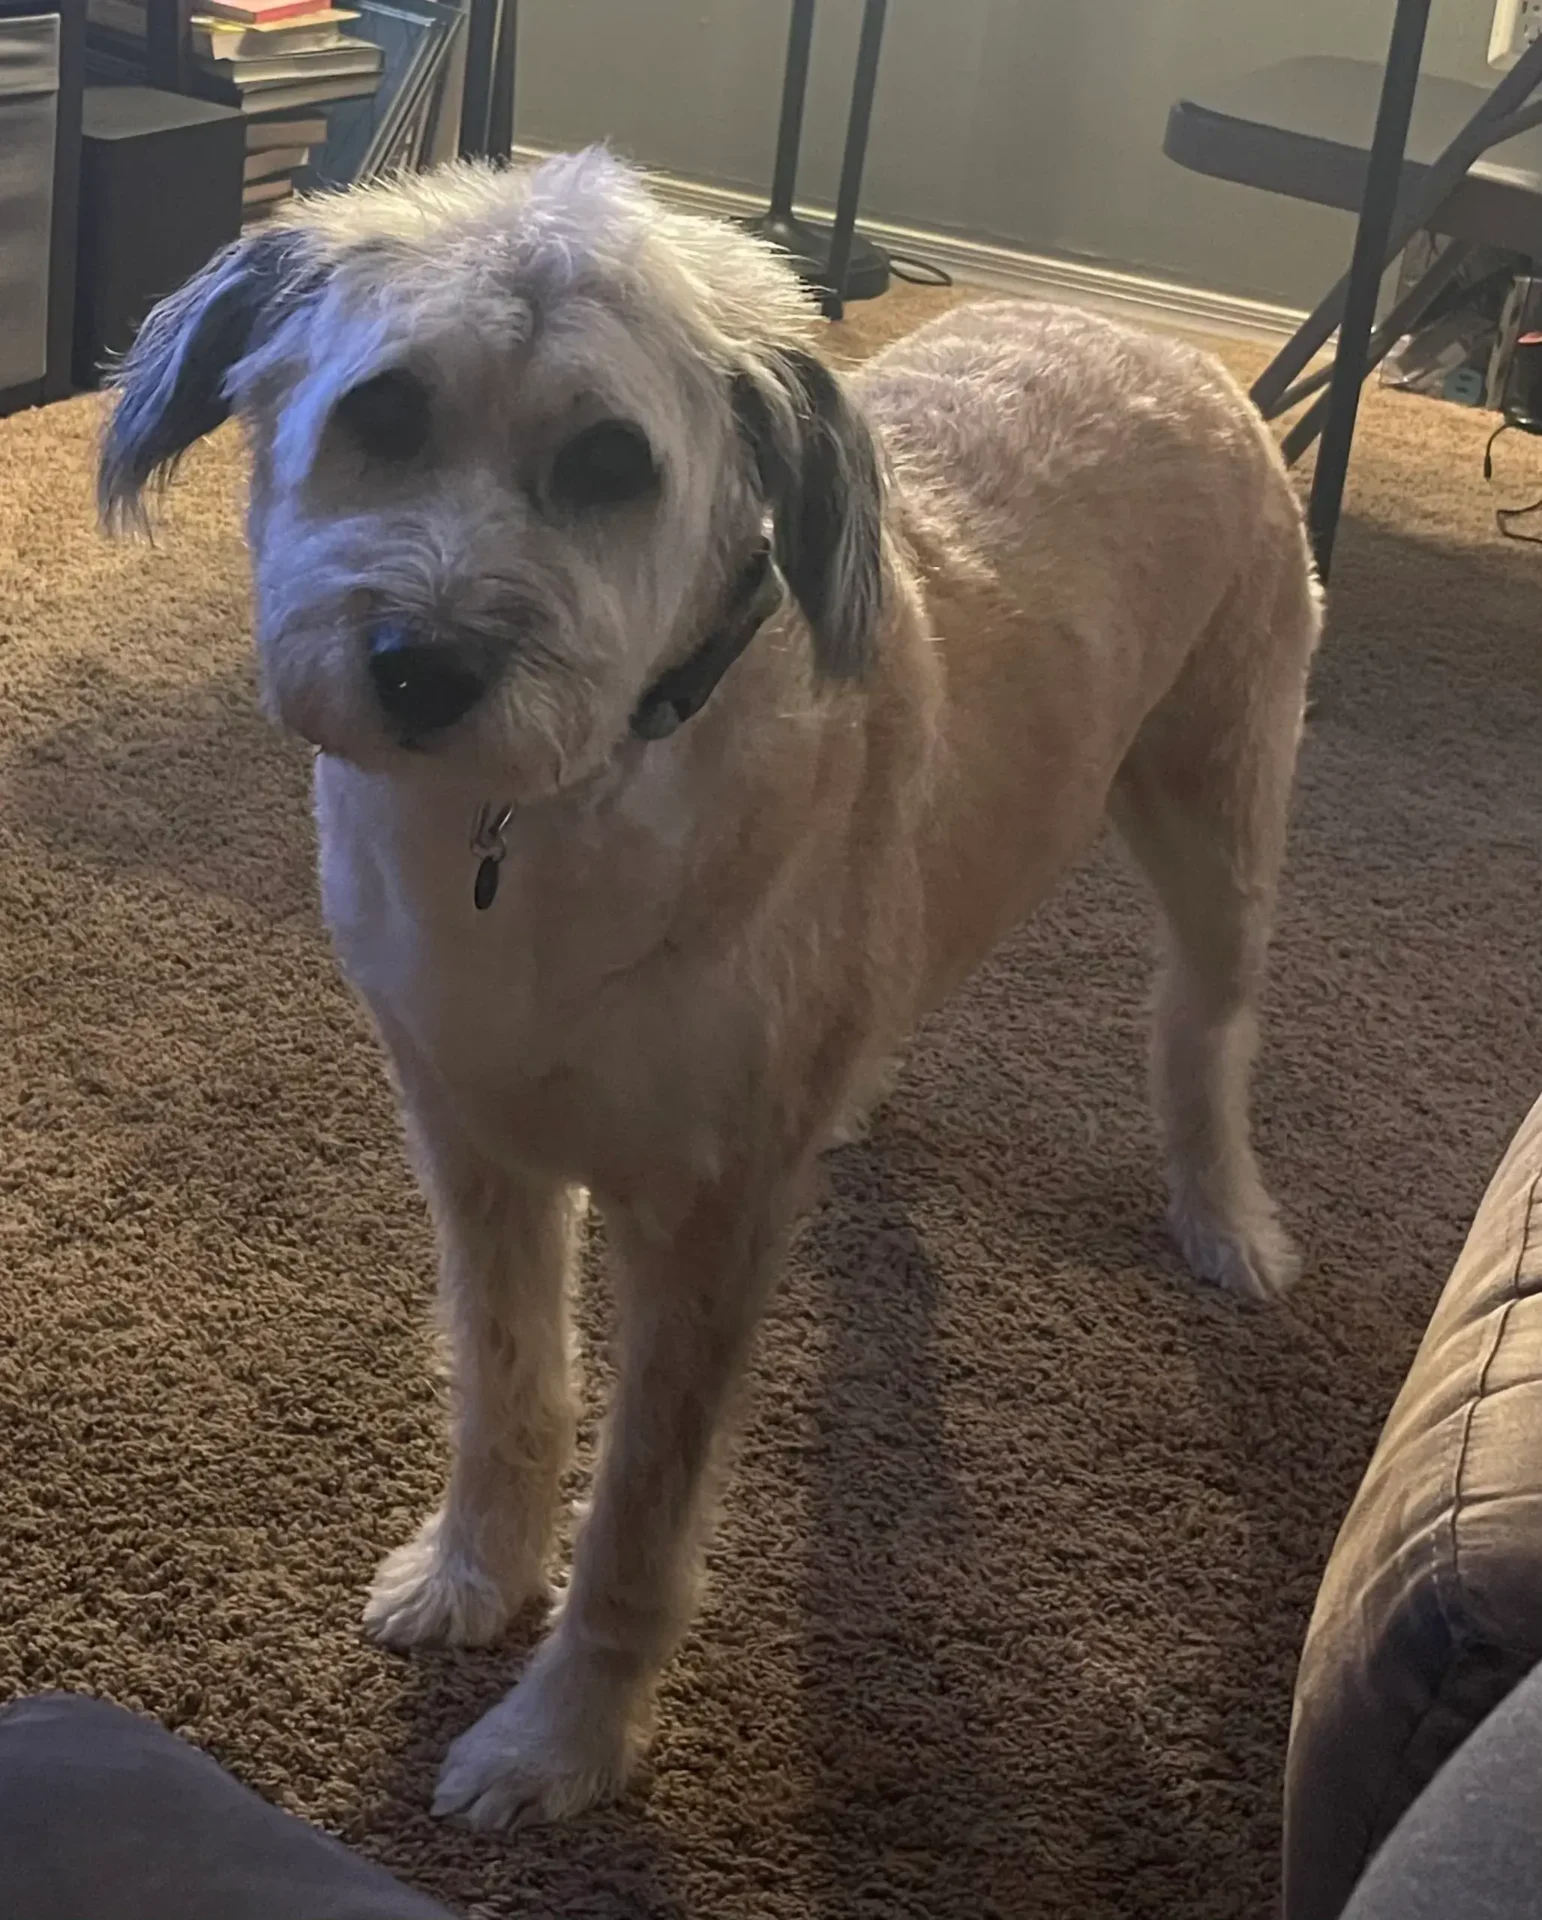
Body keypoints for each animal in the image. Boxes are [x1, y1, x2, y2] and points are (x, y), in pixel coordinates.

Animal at [102, 149, 1321, 1827]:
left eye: (612, 464)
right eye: (385, 412)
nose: (423, 664)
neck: (537, 821)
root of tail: (1145, 331)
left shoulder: (706, 1218)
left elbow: (638, 1511)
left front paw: (555, 1744)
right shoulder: (469, 1143)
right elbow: (505, 1385)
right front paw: (469, 1578)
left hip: (1217, 818)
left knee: (1203, 1034)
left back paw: (1226, 1222)